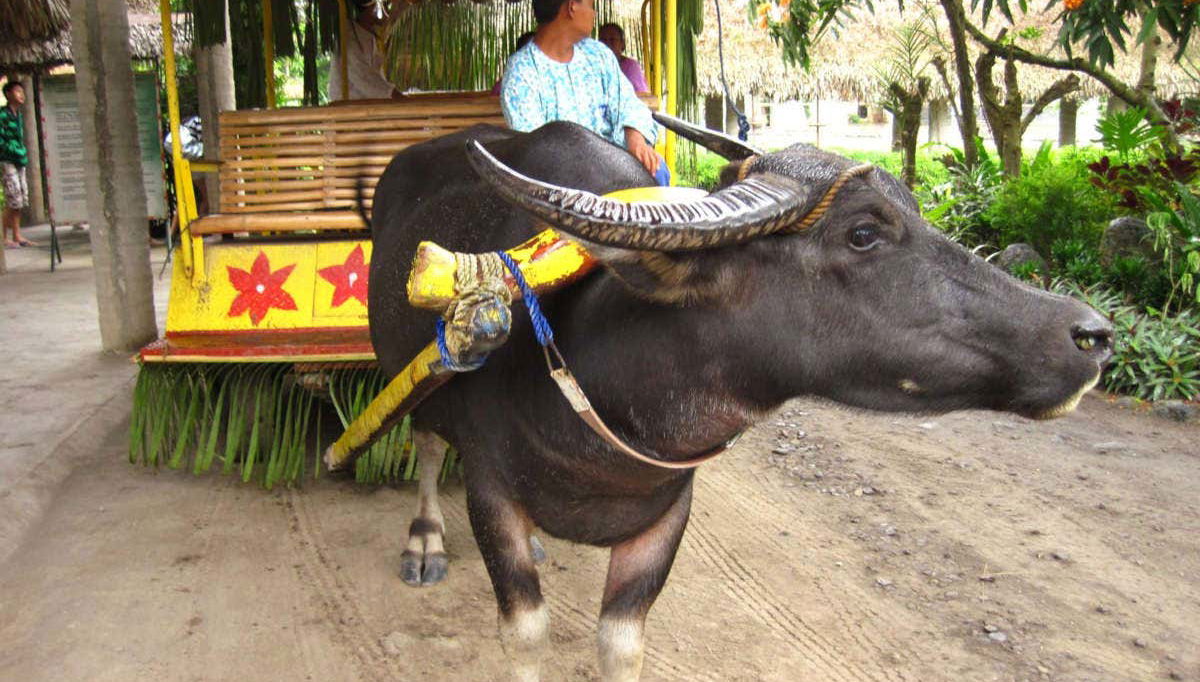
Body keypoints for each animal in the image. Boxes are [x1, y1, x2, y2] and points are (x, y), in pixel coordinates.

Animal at [365, 115, 1112, 682]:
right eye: (863, 233)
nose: (1092, 334)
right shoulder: (492, 494)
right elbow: (525, 634)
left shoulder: (666, 517)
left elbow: (622, 645)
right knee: (424, 441)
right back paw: (425, 540)